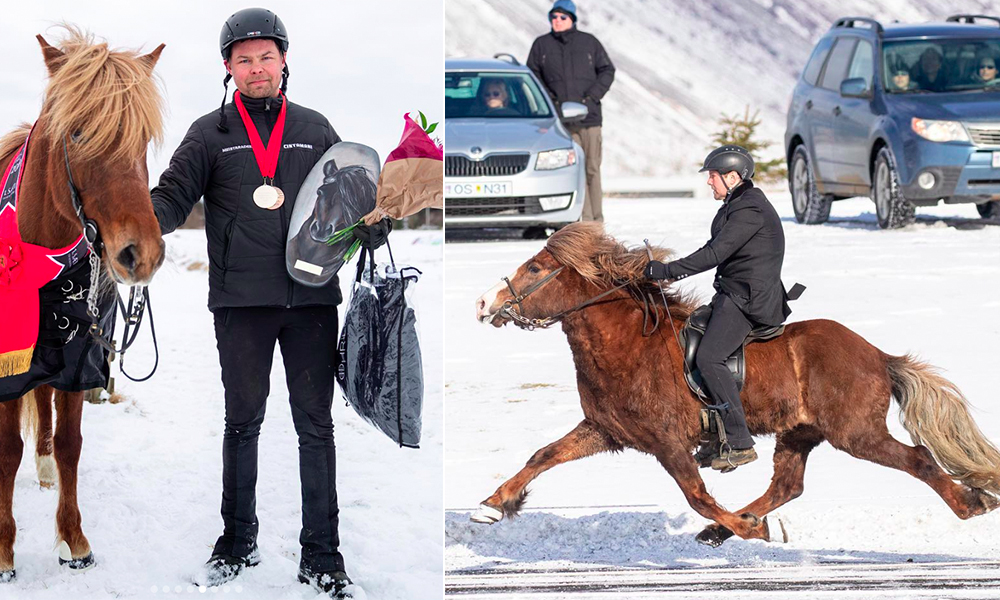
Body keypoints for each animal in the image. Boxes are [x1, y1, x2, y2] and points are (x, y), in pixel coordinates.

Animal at [0, 30, 166, 580]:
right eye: (76, 134)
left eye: (143, 139)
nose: (141, 254)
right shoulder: (8, 367)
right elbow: (6, 450)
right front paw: (4, 550)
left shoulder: (77, 357)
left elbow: (71, 445)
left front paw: (74, 541)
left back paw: (45, 465)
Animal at [470, 223, 1000, 548]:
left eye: (536, 269)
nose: (482, 303)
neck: (626, 344)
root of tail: (876, 355)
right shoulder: (606, 431)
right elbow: (544, 455)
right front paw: (494, 505)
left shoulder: (668, 442)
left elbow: (696, 494)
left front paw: (747, 530)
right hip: (799, 433)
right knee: (788, 485)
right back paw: (724, 530)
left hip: (856, 434)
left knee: (918, 459)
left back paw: (971, 502)